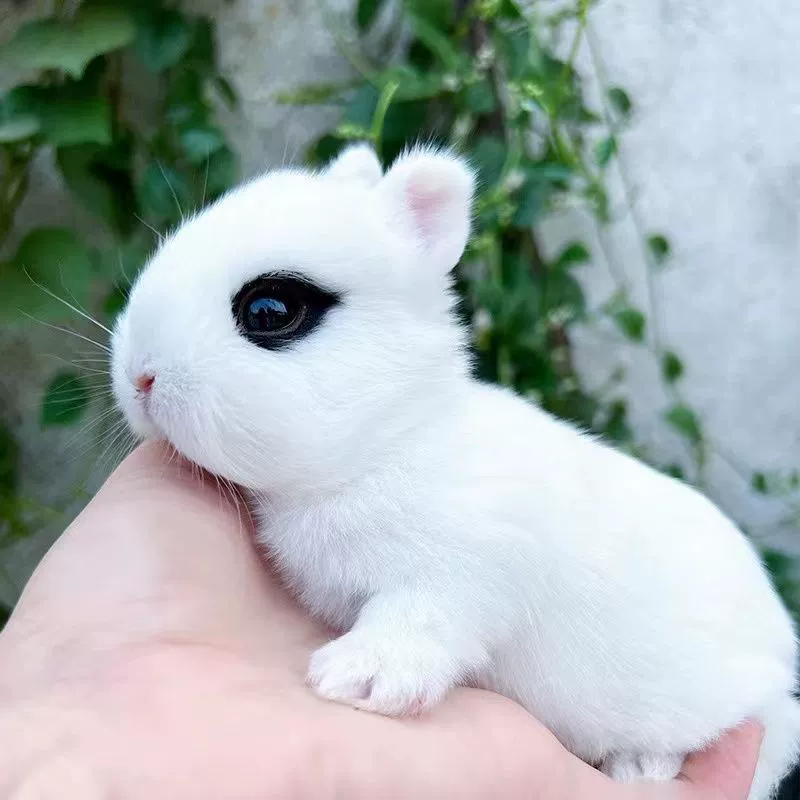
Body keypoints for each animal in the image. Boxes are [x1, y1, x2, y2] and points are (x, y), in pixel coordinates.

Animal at [111, 143, 800, 797]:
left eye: (270, 311)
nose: (140, 376)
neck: (384, 442)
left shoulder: (464, 570)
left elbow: (419, 619)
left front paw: (357, 679)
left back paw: (642, 766)